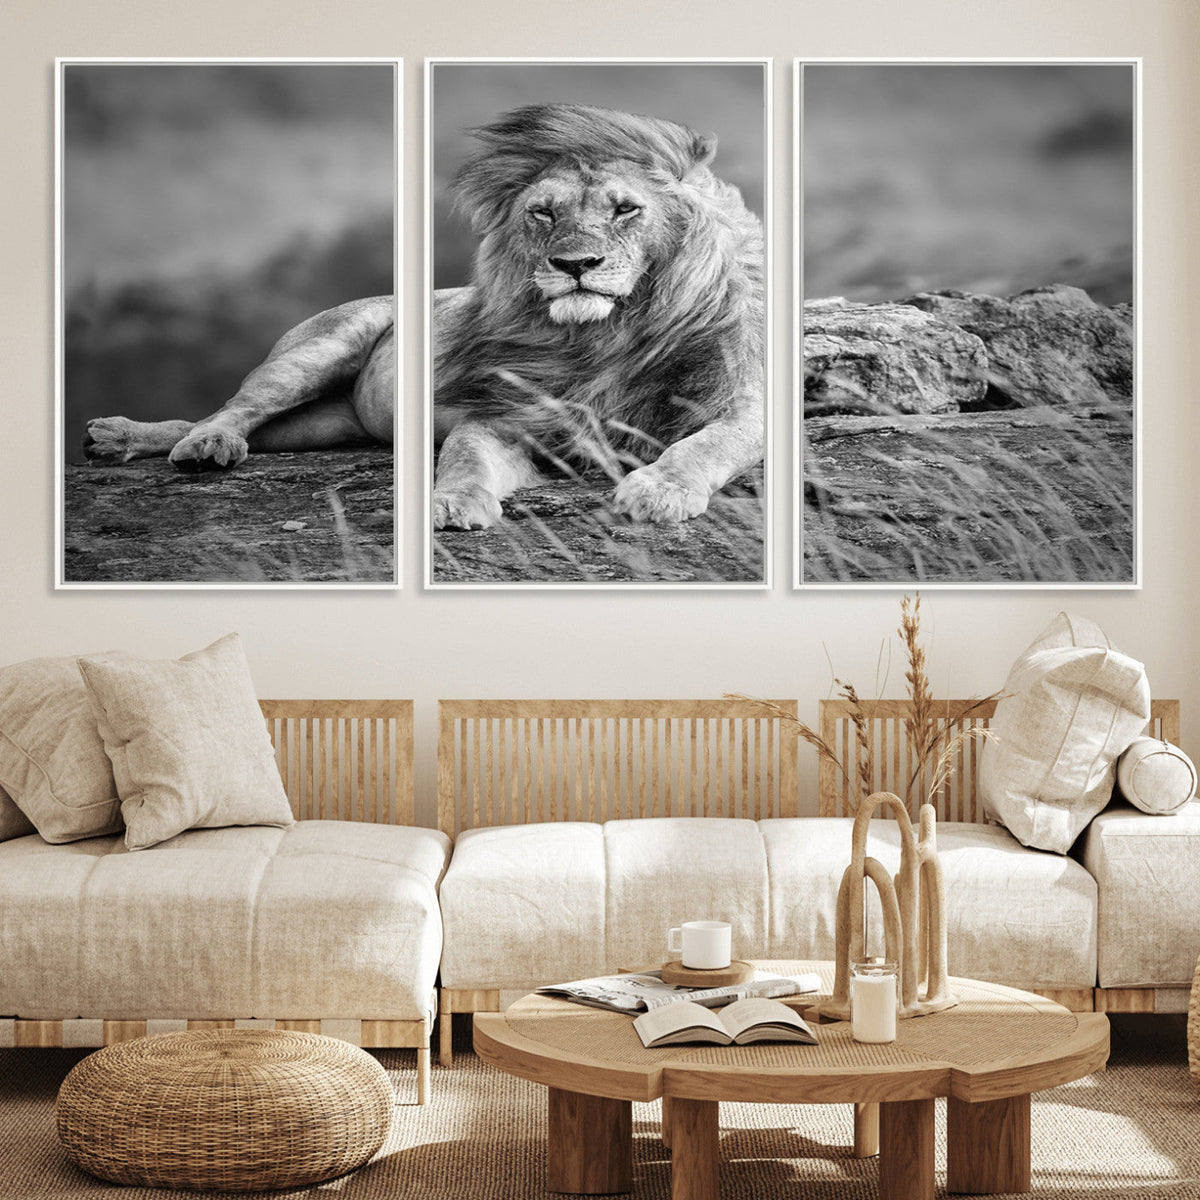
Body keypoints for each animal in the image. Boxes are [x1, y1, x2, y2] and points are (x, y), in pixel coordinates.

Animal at [432, 102, 765, 528]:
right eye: (543, 213)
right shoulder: (512, 407)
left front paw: (659, 490)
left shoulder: (739, 399)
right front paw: (451, 500)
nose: (575, 264)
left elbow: (706, 444)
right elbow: (463, 450)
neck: (604, 335)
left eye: (625, 209)